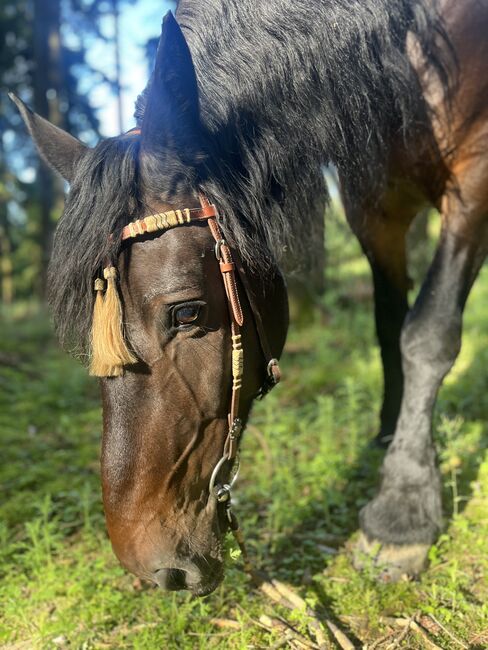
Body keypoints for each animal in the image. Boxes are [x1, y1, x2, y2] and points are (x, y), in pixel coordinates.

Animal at [11, 0, 488, 592]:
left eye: (187, 312)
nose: (154, 569)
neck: (402, 35)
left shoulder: (474, 176)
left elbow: (427, 333)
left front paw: (402, 510)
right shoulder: (372, 199)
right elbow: (387, 326)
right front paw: (390, 435)